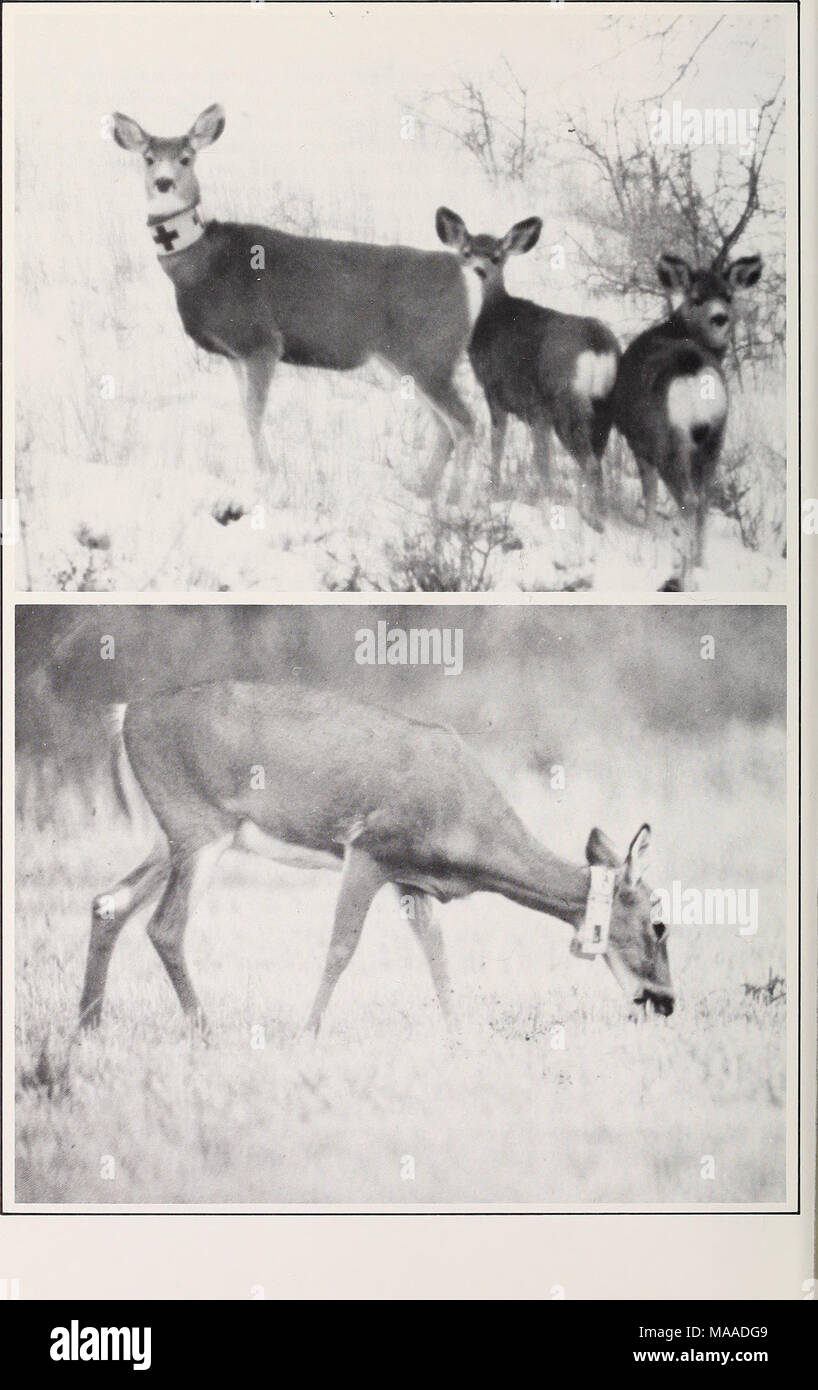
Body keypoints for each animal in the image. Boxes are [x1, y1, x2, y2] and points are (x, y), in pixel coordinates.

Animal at [79, 683, 674, 1036]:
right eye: (659, 923)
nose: (666, 1001)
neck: (469, 825)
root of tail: (125, 715)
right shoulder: (369, 849)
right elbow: (342, 948)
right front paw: (308, 1034)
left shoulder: (412, 879)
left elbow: (436, 954)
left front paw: (457, 1037)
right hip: (198, 827)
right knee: (164, 926)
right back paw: (204, 1031)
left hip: (171, 837)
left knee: (108, 903)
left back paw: (88, 1026)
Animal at [110, 105, 473, 518]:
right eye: (148, 158)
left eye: (186, 158)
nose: (164, 182)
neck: (203, 267)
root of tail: (457, 270)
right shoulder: (234, 355)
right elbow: (245, 412)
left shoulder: (261, 341)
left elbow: (255, 415)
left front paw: (269, 485)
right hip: (407, 360)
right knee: (445, 427)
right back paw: (422, 494)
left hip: (430, 354)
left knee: (465, 424)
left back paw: (454, 505)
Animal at [435, 208, 620, 528]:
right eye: (467, 251)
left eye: (496, 256)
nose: (478, 270)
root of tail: (599, 345)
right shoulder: (535, 412)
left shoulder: (496, 389)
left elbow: (498, 441)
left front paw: (494, 490)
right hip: (603, 410)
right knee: (596, 463)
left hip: (565, 403)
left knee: (589, 464)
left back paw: (584, 519)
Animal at [613, 251, 762, 584]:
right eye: (697, 298)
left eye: (728, 296)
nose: (720, 317)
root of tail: (693, 371)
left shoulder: (639, 444)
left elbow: (649, 493)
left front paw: (650, 533)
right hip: (715, 438)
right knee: (704, 497)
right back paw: (700, 563)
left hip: (670, 440)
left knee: (688, 499)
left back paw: (685, 574)